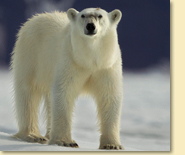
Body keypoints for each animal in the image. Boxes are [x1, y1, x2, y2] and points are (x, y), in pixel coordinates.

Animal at [10, 7, 123, 150]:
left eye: (100, 16)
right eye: (83, 15)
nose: (90, 26)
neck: (89, 60)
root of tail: (37, 17)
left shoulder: (107, 66)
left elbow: (109, 97)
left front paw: (112, 145)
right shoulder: (69, 60)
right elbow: (64, 92)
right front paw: (66, 142)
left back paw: (47, 135)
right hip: (31, 55)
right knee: (28, 93)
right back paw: (33, 135)